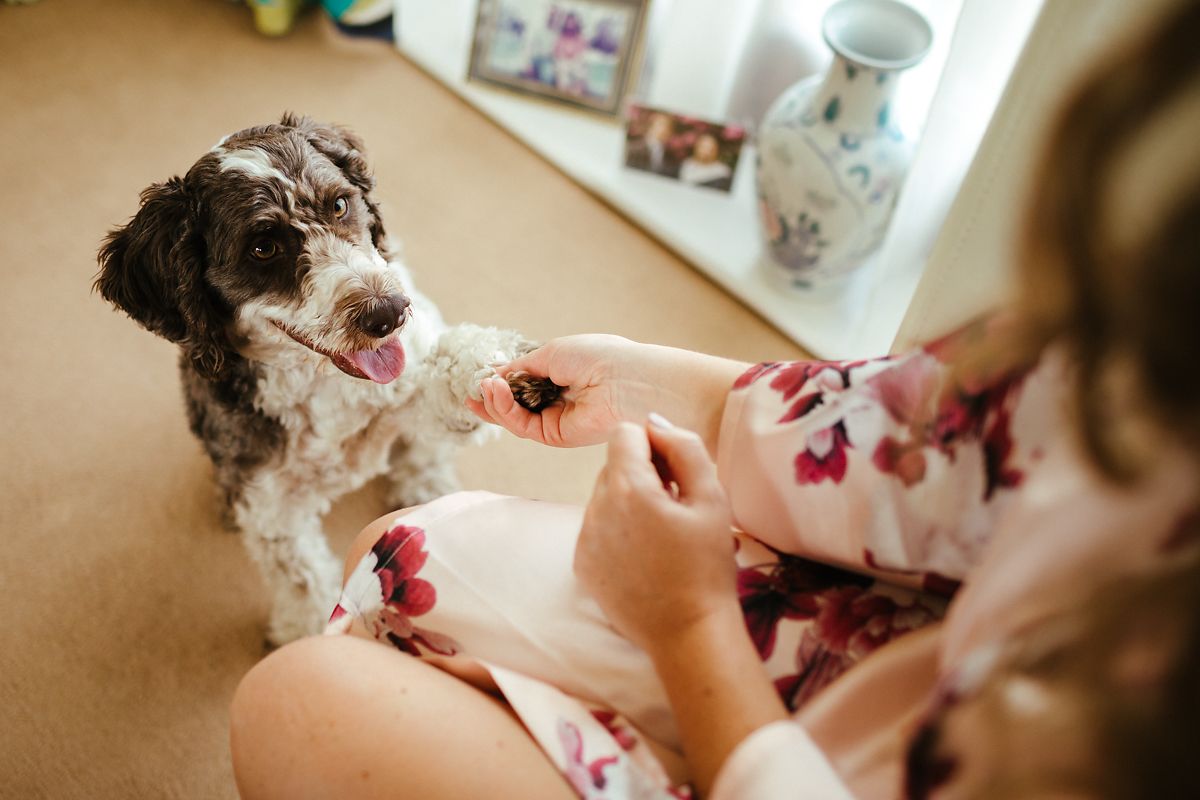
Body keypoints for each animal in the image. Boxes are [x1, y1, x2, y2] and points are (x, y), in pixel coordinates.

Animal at [96, 113, 554, 642]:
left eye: (339, 203)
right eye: (263, 246)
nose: (387, 312)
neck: (319, 385)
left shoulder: (409, 382)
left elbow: (446, 372)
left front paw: (500, 369)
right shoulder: (273, 510)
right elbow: (302, 580)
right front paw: (307, 633)